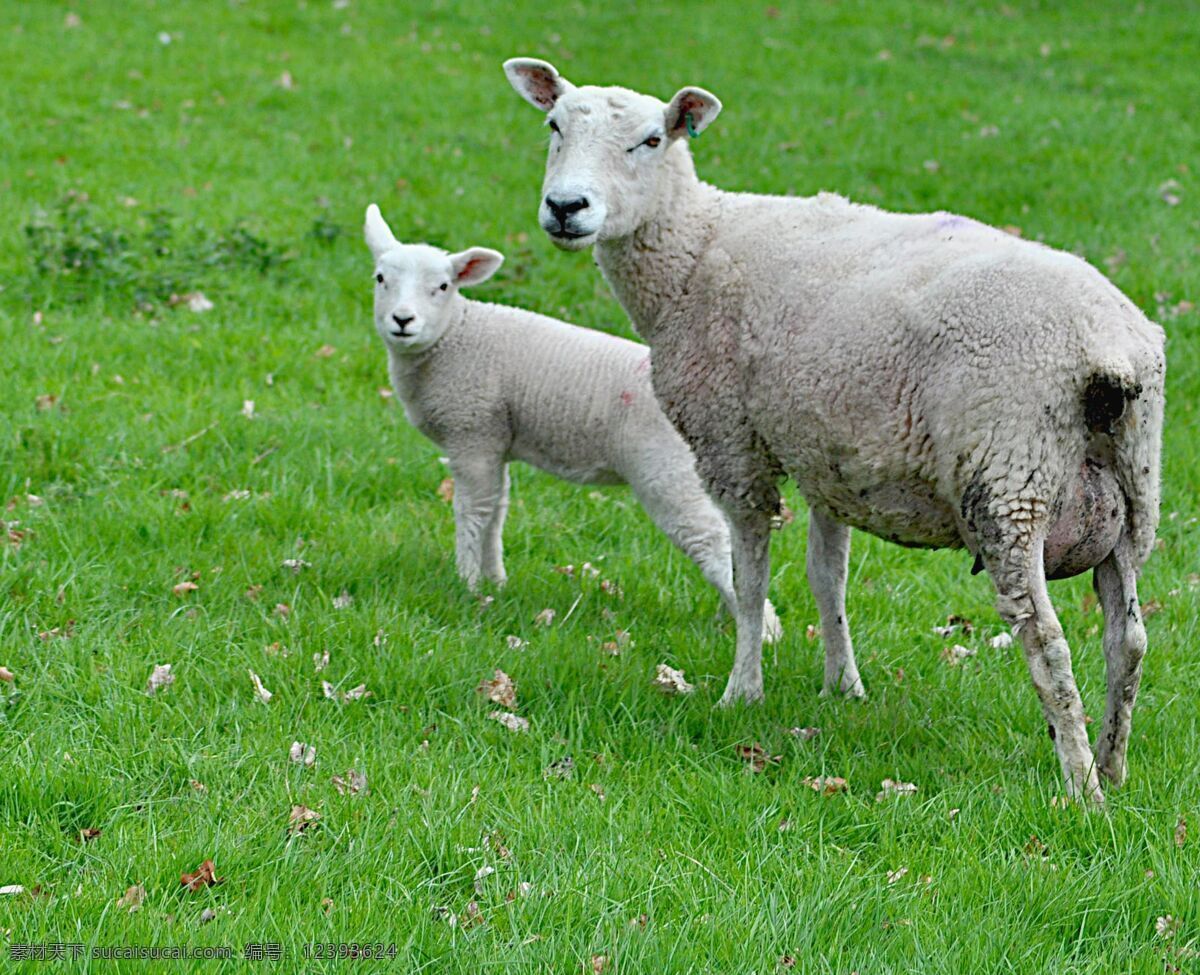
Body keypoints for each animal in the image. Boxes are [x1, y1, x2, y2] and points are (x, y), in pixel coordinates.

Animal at [360, 204, 782, 643]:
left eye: (443, 286)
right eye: (380, 278)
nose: (402, 320)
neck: (454, 337)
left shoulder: (471, 431)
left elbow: (473, 510)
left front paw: (467, 583)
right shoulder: (494, 440)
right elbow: (497, 510)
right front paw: (495, 581)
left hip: (665, 470)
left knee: (708, 538)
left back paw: (765, 631)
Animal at [504, 57, 1161, 802]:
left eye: (650, 140)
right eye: (553, 126)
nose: (567, 208)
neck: (695, 250)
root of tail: (1108, 349)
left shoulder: (732, 442)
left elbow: (750, 578)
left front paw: (742, 690)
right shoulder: (829, 455)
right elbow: (829, 578)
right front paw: (842, 685)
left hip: (1008, 477)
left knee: (1047, 638)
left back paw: (1081, 788)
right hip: (1134, 488)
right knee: (1127, 640)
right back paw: (1114, 765)